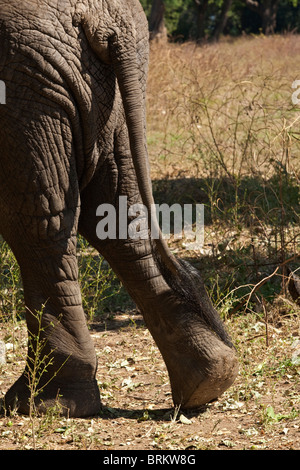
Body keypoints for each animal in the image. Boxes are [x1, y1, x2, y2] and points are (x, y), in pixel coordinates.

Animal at [0, 0, 239, 418]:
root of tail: (105, 17)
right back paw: (208, 381)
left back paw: (42, 403)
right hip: (96, 99)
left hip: (27, 85)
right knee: (116, 218)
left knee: (37, 224)